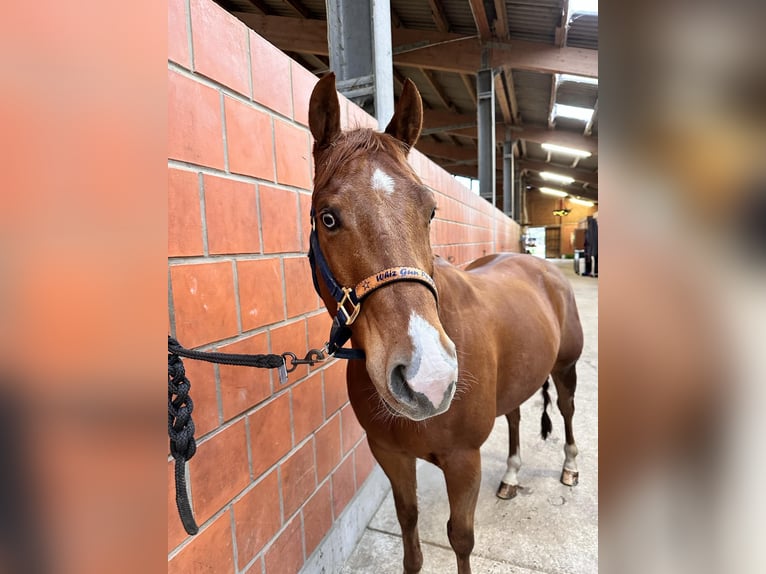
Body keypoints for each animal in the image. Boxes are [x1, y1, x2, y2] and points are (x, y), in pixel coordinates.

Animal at [306, 74, 584, 574]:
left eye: (431, 210)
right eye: (328, 217)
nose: (428, 379)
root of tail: (541, 266)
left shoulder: (463, 461)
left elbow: (460, 538)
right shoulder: (391, 455)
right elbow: (409, 526)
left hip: (566, 367)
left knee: (568, 410)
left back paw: (570, 467)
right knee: (515, 415)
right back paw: (512, 475)